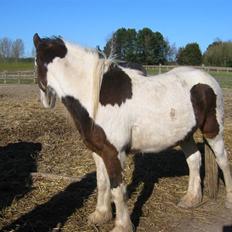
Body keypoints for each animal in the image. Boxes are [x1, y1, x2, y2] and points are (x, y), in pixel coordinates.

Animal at [33, 33, 232, 232]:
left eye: (35, 63)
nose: (45, 100)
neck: (96, 97)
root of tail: (208, 79)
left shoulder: (114, 153)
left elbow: (117, 189)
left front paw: (122, 225)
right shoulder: (98, 152)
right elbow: (102, 182)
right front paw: (101, 215)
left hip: (213, 131)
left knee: (223, 160)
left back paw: (229, 200)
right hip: (185, 134)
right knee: (194, 160)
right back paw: (191, 199)